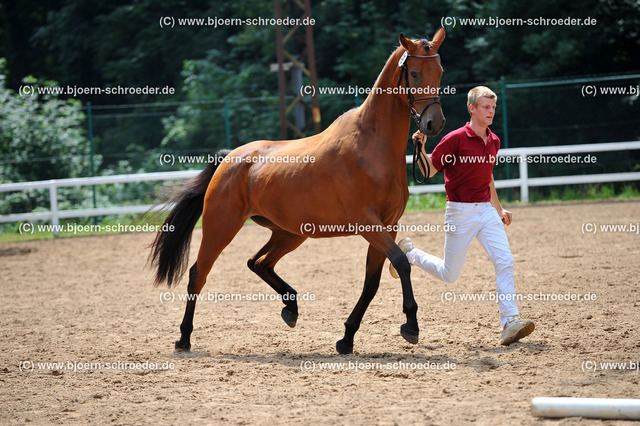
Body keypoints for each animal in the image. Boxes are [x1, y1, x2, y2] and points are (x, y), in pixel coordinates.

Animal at [149, 26, 444, 352]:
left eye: (439, 71)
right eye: (414, 73)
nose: (434, 123)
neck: (371, 145)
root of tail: (229, 157)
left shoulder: (387, 226)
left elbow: (372, 282)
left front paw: (347, 338)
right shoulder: (368, 224)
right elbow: (402, 263)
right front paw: (411, 325)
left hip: (290, 232)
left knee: (258, 263)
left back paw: (290, 307)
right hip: (221, 227)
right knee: (198, 274)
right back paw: (184, 337)